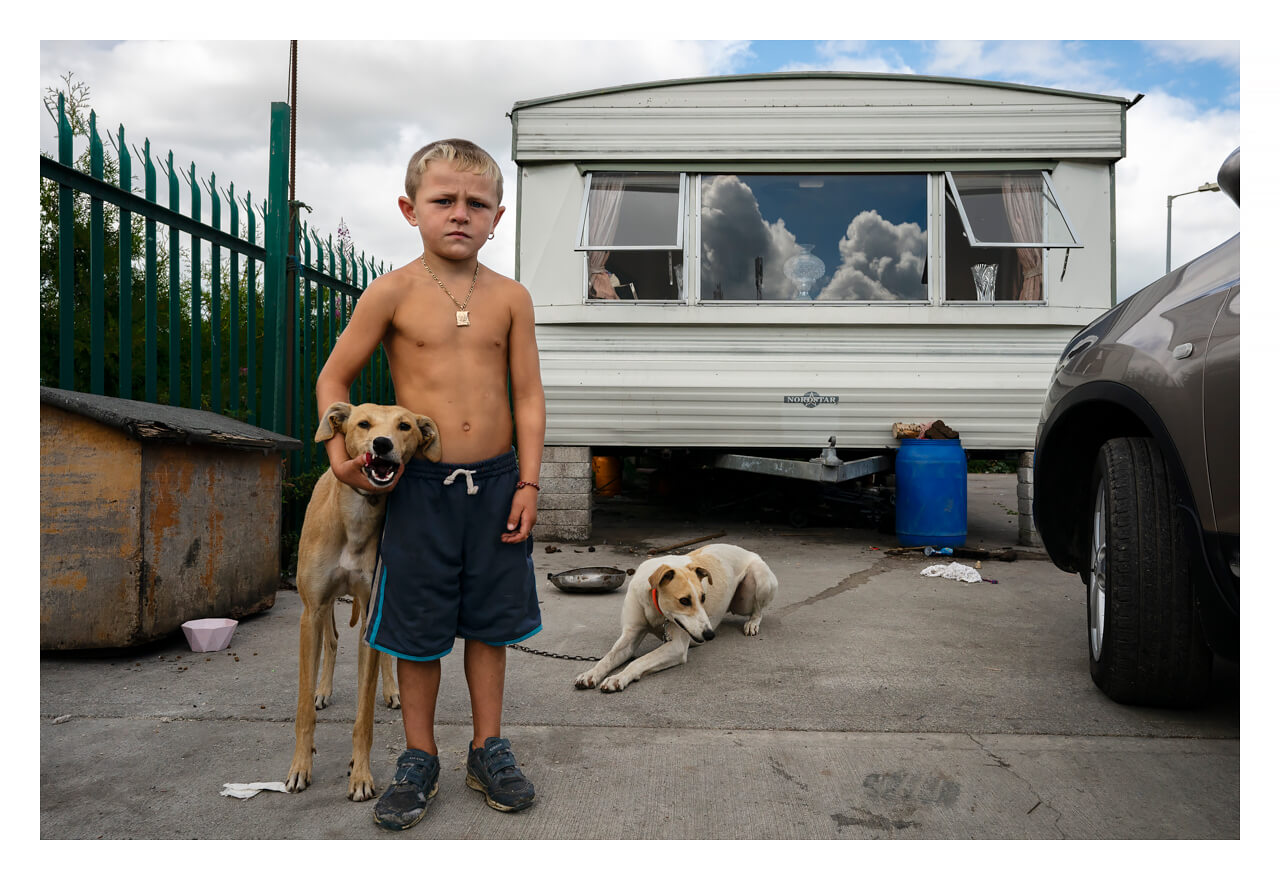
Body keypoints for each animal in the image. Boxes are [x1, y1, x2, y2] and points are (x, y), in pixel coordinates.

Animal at [282, 401, 442, 803]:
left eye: (405, 426)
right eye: (363, 424)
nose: (382, 444)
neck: (356, 519)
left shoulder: (371, 609)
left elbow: (364, 713)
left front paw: (361, 775)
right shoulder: (311, 612)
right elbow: (303, 708)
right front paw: (300, 767)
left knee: (381, 652)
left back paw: (392, 690)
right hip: (323, 608)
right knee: (332, 640)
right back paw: (323, 690)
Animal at [576, 542, 773, 695]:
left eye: (703, 597)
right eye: (684, 600)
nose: (710, 635)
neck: (654, 606)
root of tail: (747, 550)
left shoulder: (676, 646)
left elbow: (639, 660)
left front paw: (618, 678)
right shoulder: (630, 636)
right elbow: (608, 657)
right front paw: (590, 673)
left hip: (758, 583)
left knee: (758, 609)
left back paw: (752, 623)